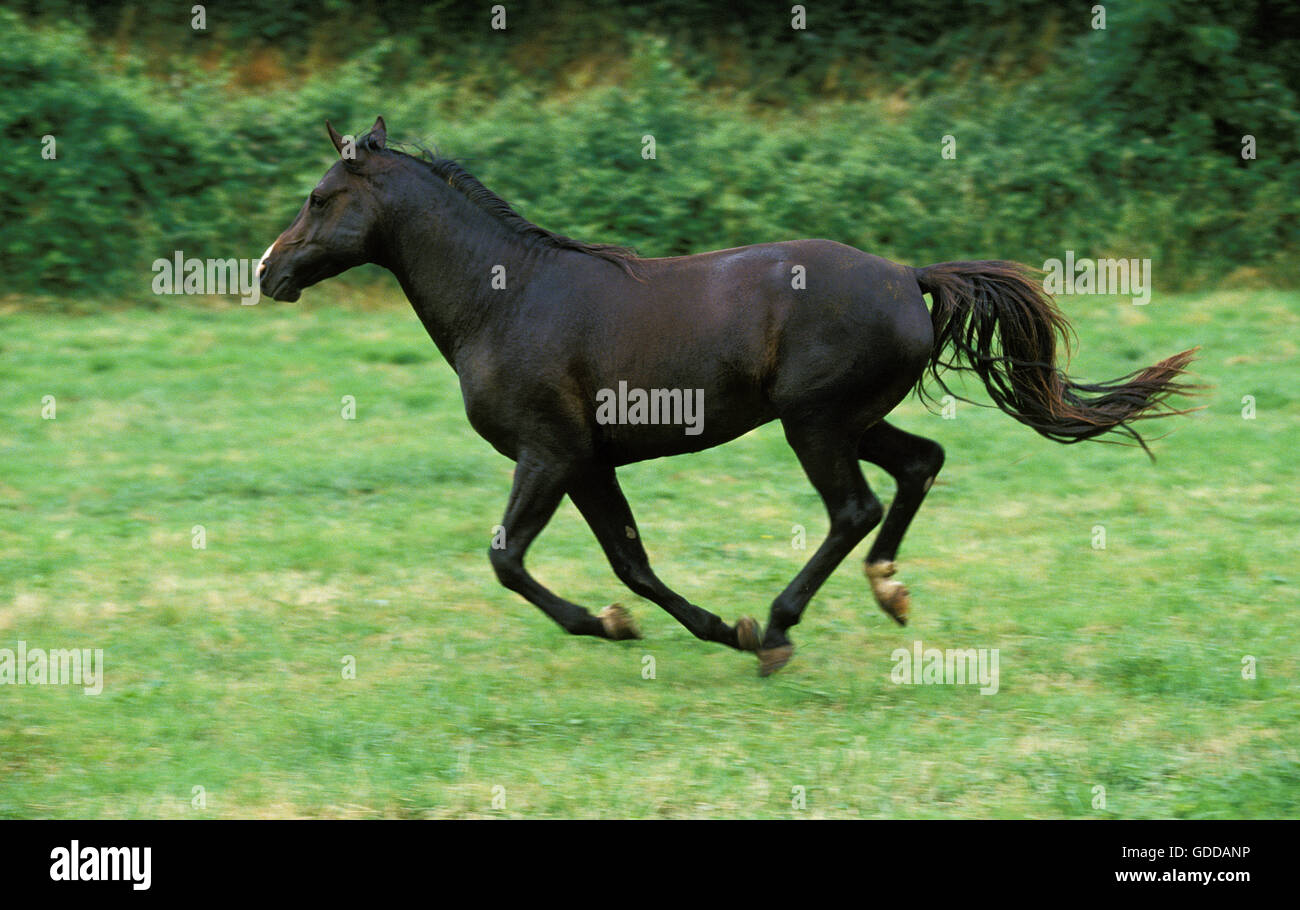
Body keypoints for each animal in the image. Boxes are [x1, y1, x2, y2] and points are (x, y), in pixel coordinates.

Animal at [256, 116, 1196, 676]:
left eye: (320, 198)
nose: (266, 272)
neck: (507, 299)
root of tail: (908, 275)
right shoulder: (588, 463)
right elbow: (632, 563)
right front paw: (706, 627)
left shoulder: (548, 453)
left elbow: (509, 560)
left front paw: (618, 626)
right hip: (851, 418)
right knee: (921, 464)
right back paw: (884, 591)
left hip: (815, 422)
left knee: (853, 507)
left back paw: (781, 629)